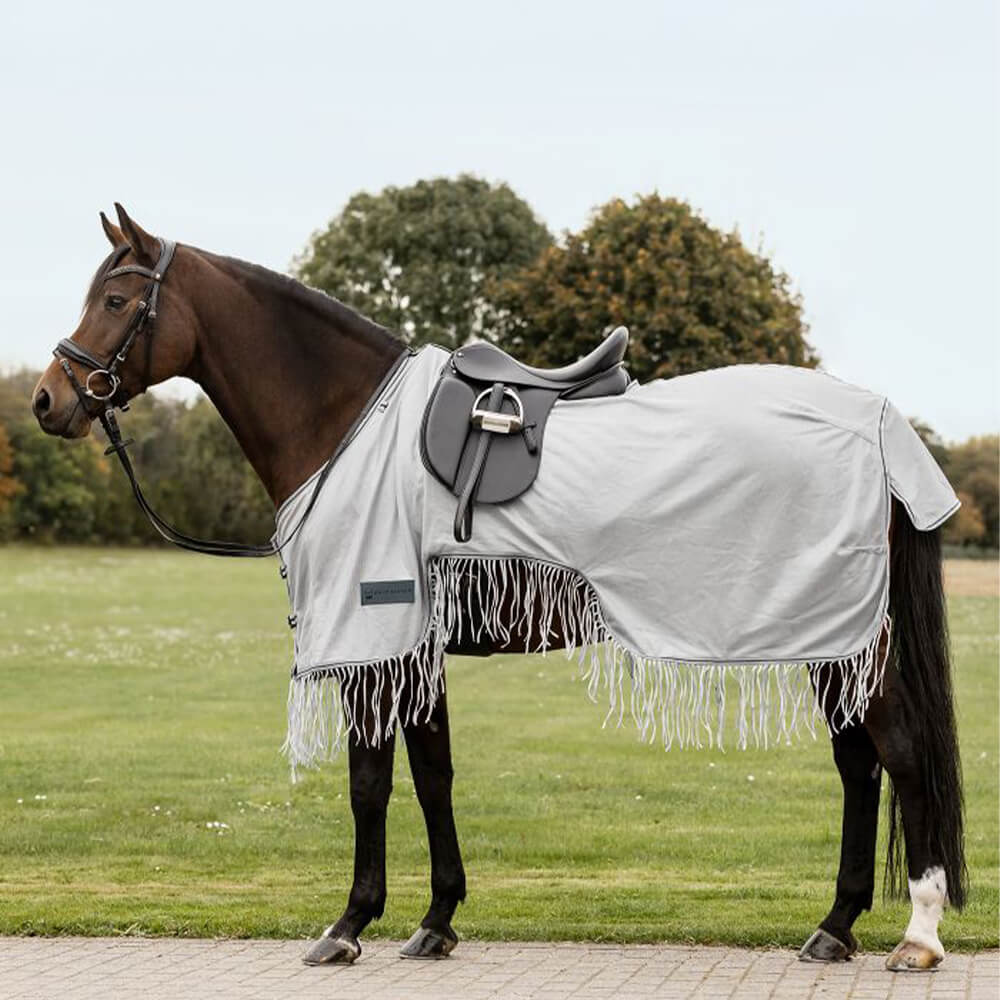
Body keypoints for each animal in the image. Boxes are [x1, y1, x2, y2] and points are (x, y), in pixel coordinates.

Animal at [31, 205, 966, 971]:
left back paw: (916, 936)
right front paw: (435, 921)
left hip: (847, 633)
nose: (47, 399)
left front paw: (348, 925)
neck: (348, 420)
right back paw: (835, 926)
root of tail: (882, 424)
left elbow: (369, 780)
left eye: (116, 299)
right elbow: (433, 772)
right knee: (859, 765)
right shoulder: (416, 645)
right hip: (833, 638)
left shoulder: (375, 637)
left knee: (898, 754)